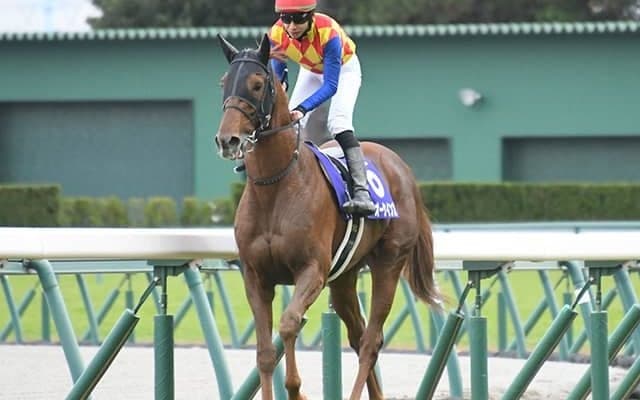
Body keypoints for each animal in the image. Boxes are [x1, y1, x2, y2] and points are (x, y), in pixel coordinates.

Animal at [215, 33, 441, 400]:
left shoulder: (312, 270)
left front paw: (296, 390)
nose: (228, 140)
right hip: (345, 276)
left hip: (388, 263)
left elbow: (289, 324)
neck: (275, 188)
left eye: (257, 84)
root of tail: (401, 167)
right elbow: (265, 353)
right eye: (224, 83)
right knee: (359, 334)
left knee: (371, 341)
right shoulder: (255, 276)